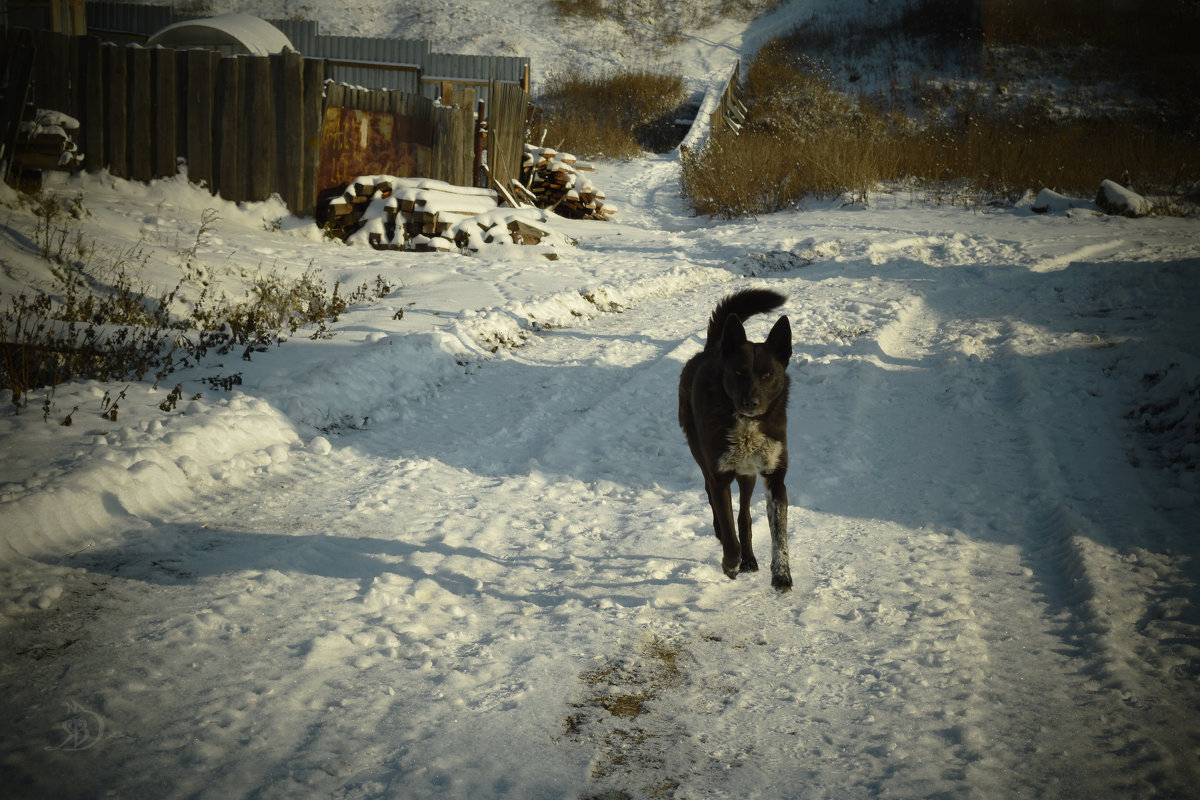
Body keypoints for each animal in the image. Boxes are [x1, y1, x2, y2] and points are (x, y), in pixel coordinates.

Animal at [681, 291, 792, 592]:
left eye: (768, 374)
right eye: (739, 373)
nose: (750, 402)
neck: (746, 423)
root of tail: (713, 348)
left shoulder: (775, 477)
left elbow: (779, 534)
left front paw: (782, 575)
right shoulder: (719, 476)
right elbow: (728, 528)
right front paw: (730, 563)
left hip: (747, 474)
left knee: (744, 516)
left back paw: (749, 558)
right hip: (702, 455)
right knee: (716, 504)